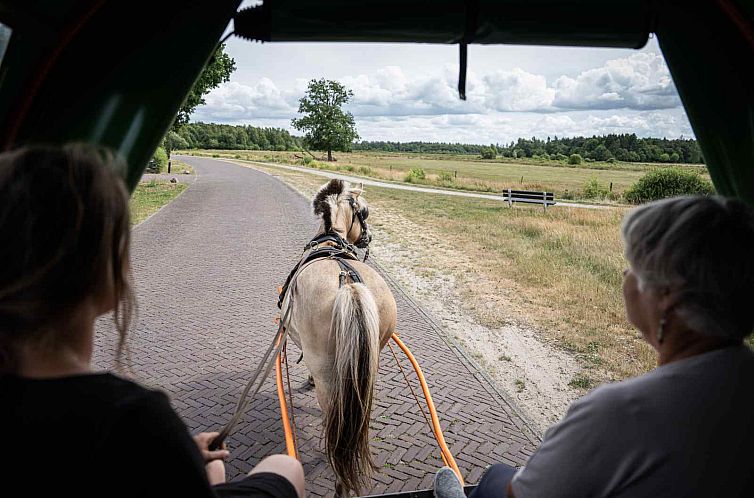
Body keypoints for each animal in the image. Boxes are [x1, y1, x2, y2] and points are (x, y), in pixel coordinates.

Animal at [280, 178, 396, 494]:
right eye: (365, 212)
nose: (368, 238)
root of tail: (348, 282)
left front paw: (306, 379)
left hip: (327, 372)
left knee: (333, 414)